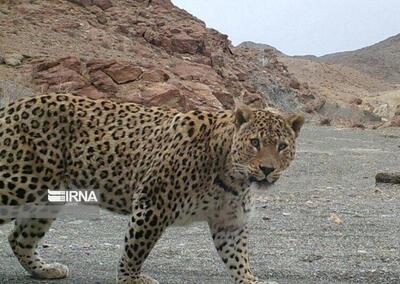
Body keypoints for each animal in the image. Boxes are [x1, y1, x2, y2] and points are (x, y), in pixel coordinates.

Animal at [0, 93, 304, 284]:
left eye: (282, 146)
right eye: (254, 142)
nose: (267, 169)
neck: (232, 176)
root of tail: (11, 106)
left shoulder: (229, 221)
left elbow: (237, 256)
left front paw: (250, 279)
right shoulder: (153, 203)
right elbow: (136, 247)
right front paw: (131, 279)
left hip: (45, 197)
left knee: (19, 238)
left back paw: (44, 270)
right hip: (19, 184)